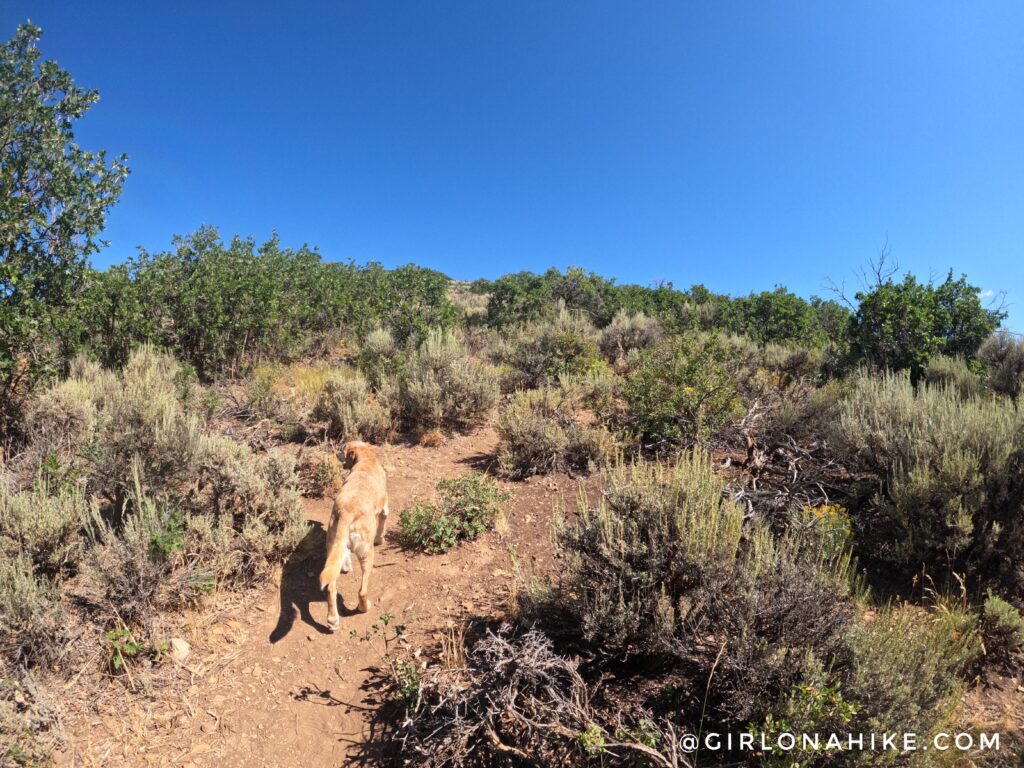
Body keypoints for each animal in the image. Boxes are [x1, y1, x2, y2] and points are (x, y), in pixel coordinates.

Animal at [315, 438, 387, 630]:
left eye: (343, 448)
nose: (337, 454)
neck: (366, 460)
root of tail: (346, 513)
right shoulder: (385, 507)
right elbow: (383, 524)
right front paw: (381, 539)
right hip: (367, 554)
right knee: (362, 591)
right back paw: (364, 607)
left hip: (333, 542)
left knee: (331, 587)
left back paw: (333, 620)